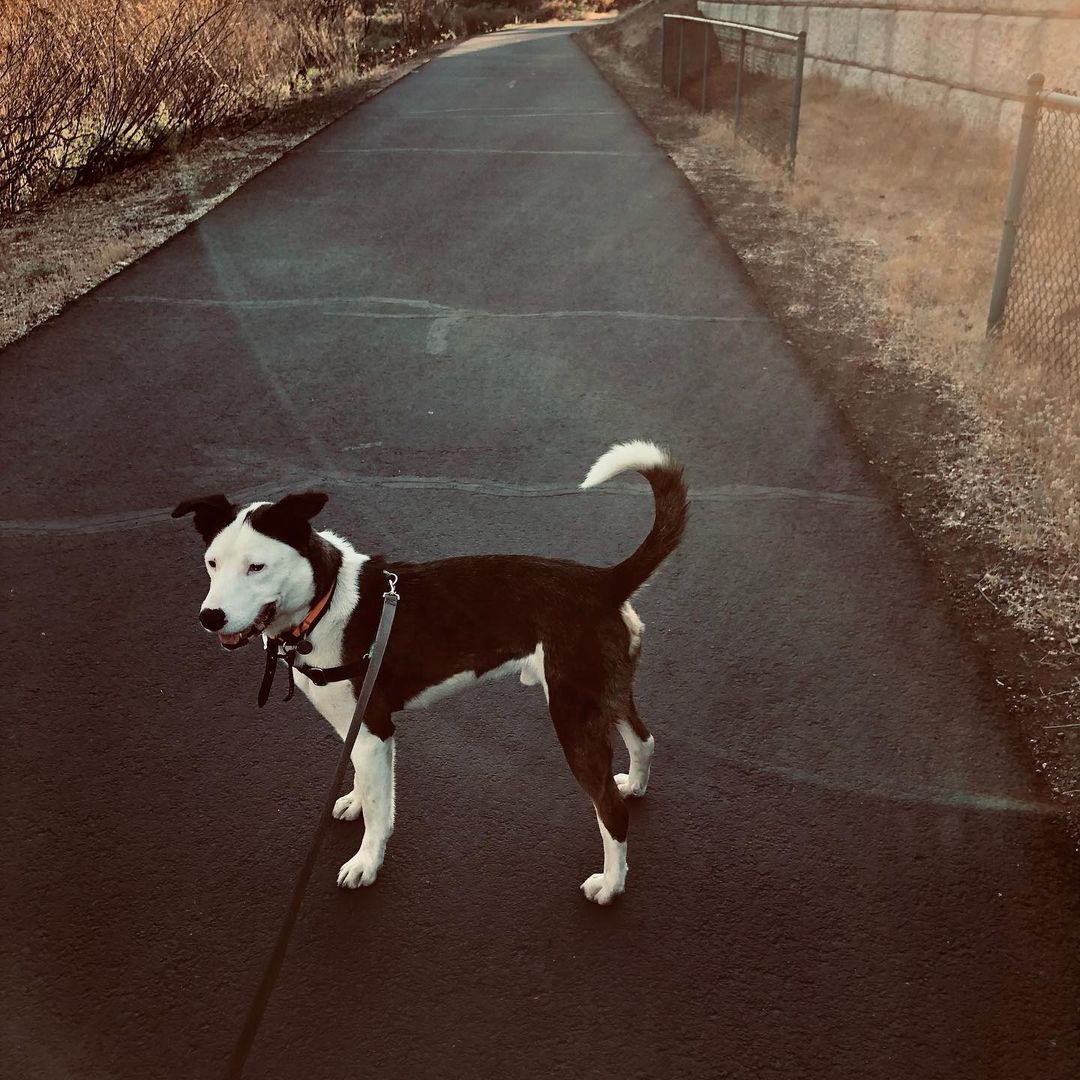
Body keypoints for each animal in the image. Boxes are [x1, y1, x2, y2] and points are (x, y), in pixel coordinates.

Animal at [172, 438, 686, 902]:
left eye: (256, 567)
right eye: (211, 563)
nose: (210, 617)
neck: (325, 603)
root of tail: (603, 582)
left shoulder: (374, 727)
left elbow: (379, 809)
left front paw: (366, 862)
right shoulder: (360, 728)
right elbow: (364, 781)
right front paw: (355, 801)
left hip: (573, 715)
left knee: (611, 811)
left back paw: (611, 885)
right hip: (604, 693)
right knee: (644, 740)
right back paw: (635, 784)